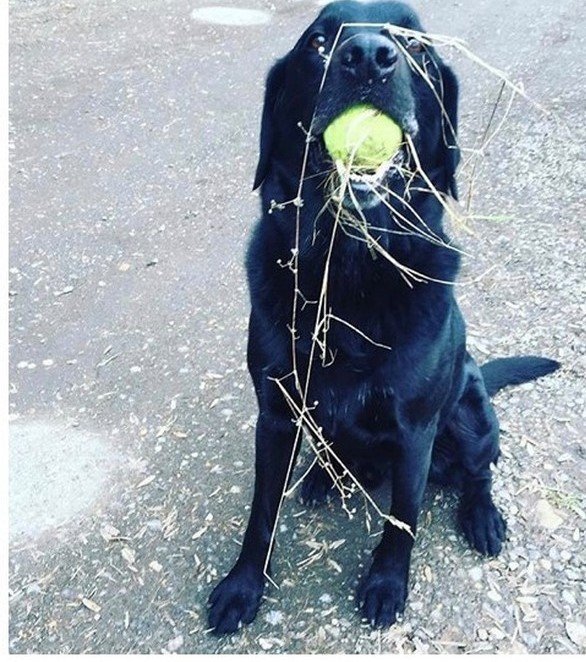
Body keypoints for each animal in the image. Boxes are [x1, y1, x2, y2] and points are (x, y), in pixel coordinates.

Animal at [206, 0, 556, 640]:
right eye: (320, 42)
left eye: (415, 46)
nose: (368, 55)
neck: (348, 274)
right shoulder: (276, 413)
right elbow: (261, 513)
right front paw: (243, 587)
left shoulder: (415, 427)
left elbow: (403, 519)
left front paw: (387, 584)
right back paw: (322, 479)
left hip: (470, 414)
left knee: (481, 469)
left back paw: (482, 516)